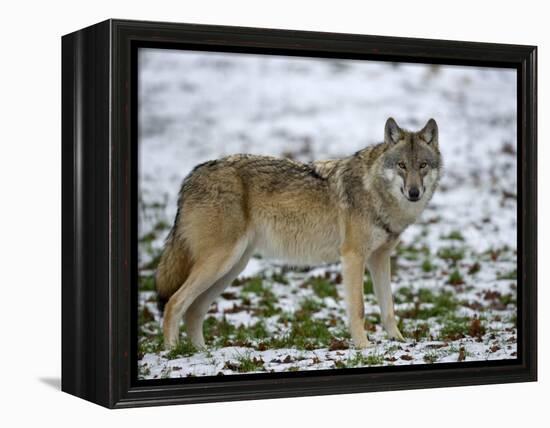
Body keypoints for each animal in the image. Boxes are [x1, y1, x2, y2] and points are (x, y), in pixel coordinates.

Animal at [155, 116, 444, 348]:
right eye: (402, 165)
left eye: (423, 165)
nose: (414, 192)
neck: (375, 191)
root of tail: (190, 177)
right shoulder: (353, 257)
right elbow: (359, 309)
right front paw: (364, 347)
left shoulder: (380, 258)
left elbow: (389, 308)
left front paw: (399, 341)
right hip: (220, 263)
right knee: (174, 303)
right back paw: (173, 353)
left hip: (232, 268)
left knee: (193, 311)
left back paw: (201, 354)